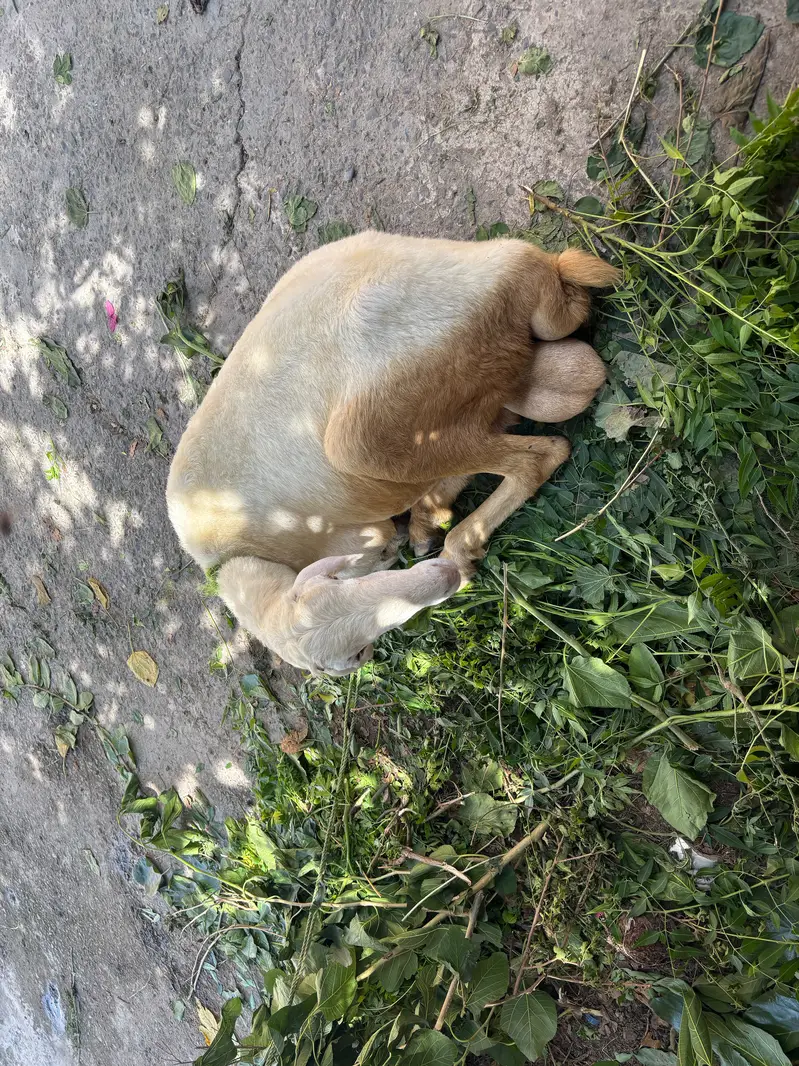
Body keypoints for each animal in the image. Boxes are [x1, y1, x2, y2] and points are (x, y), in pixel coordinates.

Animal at [166, 230, 617, 675]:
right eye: (357, 653)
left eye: (337, 582)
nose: (443, 579)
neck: (239, 555)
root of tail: (510, 274)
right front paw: (426, 518)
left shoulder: (362, 543)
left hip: (370, 436)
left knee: (535, 459)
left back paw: (458, 546)